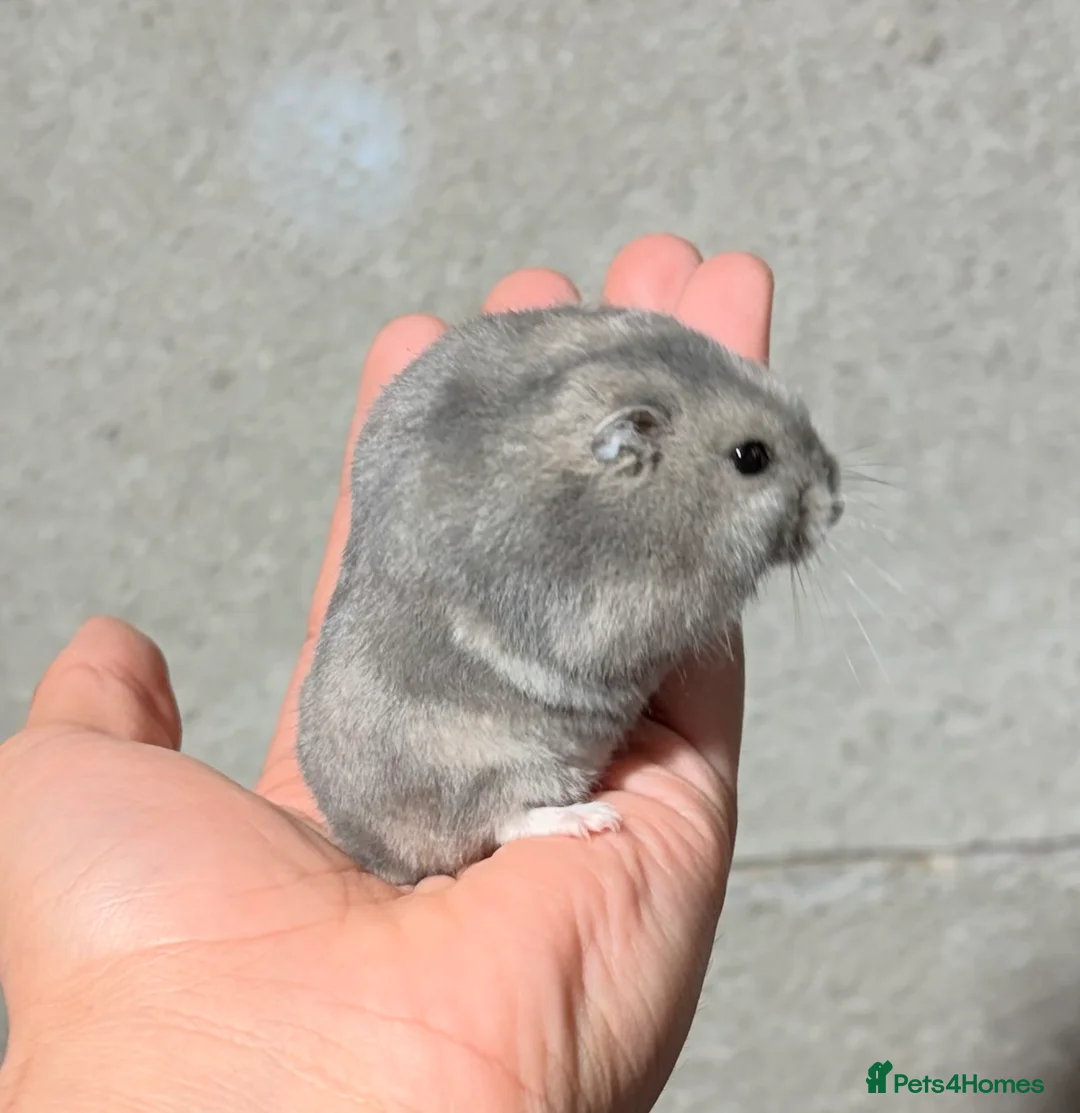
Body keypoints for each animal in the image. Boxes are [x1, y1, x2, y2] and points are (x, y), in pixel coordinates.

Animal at [297, 305, 843, 885]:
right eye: (751, 456)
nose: (838, 505)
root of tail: (375, 856)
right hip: (493, 764)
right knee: (503, 821)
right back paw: (592, 819)